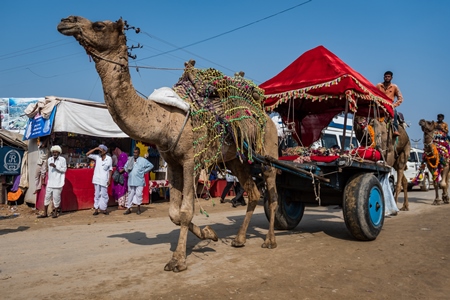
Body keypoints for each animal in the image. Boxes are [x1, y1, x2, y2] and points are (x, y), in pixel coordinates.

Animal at [56, 15, 280, 272]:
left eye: (99, 25)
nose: (66, 21)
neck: (163, 119)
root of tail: (267, 117)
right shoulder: (172, 162)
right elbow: (174, 213)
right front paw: (209, 233)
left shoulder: (191, 161)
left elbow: (186, 210)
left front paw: (178, 260)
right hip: (236, 160)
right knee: (253, 192)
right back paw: (240, 239)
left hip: (268, 152)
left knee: (272, 194)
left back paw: (270, 240)